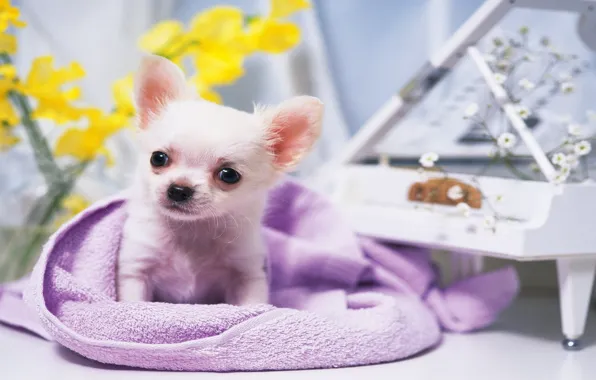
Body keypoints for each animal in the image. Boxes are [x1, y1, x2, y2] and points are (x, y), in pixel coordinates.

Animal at [116, 55, 322, 306]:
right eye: (158, 158)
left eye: (229, 175)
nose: (179, 189)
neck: (191, 232)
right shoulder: (135, 270)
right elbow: (133, 302)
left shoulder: (247, 274)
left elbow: (251, 304)